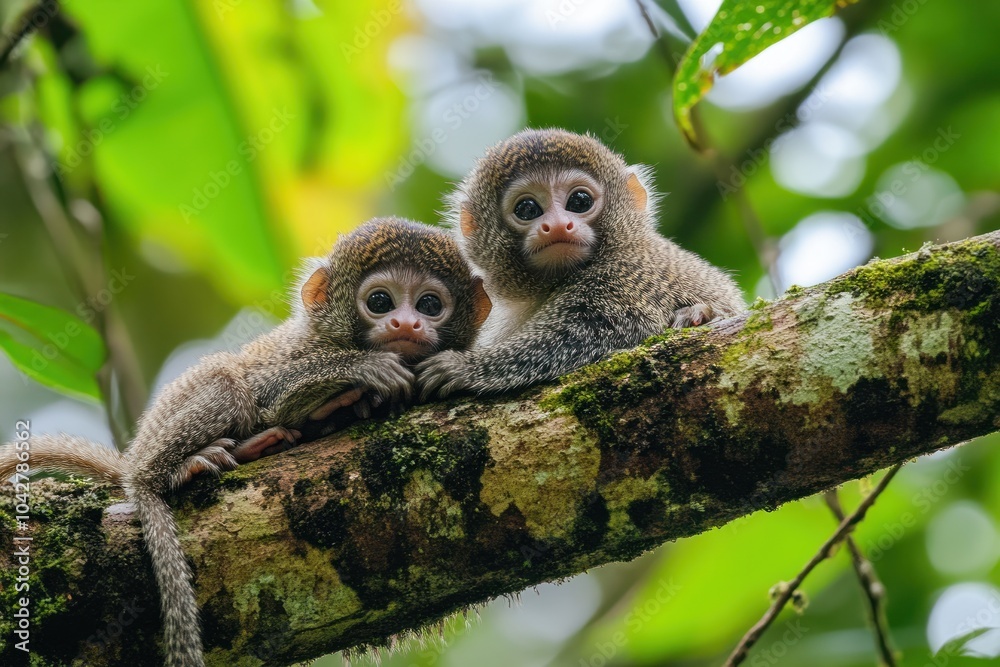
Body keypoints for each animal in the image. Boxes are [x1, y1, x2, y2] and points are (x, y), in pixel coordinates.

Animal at [0, 217, 491, 667]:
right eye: (380, 301)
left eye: (430, 304)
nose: (407, 322)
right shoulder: (298, 349)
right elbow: (270, 393)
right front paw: (362, 372)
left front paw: (359, 402)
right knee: (227, 383)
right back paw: (176, 467)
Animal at [416, 128, 745, 398]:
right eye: (527, 208)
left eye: (580, 202)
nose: (557, 225)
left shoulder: (626, 273)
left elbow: (606, 327)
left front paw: (467, 367)